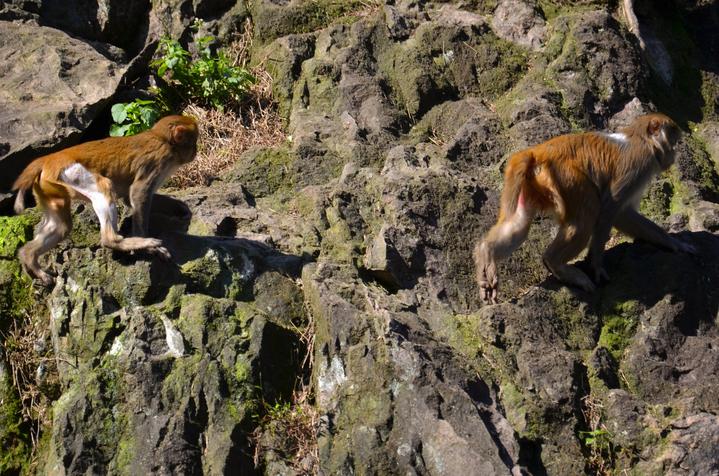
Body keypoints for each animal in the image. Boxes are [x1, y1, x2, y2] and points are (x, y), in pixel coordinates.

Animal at [11, 115, 201, 286]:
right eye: (193, 141)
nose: (195, 151)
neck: (163, 139)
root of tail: (47, 159)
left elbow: (129, 198)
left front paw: (180, 208)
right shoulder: (158, 160)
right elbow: (137, 194)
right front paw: (150, 248)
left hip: (49, 187)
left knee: (61, 227)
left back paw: (30, 259)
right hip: (71, 173)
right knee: (105, 187)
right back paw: (117, 241)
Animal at [476, 113, 696, 304]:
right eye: (673, 142)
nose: (673, 155)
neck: (640, 137)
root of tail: (538, 151)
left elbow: (622, 215)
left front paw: (673, 243)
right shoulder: (639, 165)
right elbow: (611, 209)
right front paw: (596, 265)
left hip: (532, 184)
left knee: (519, 223)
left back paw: (486, 253)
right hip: (567, 177)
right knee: (587, 217)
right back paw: (557, 264)